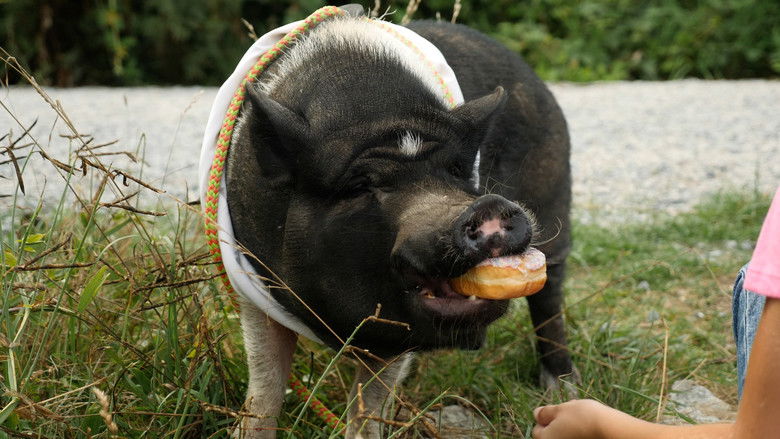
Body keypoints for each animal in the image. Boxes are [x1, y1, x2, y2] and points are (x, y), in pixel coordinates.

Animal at [221, 10, 573, 439]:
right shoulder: (255, 291)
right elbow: (265, 388)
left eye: (457, 171)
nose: (488, 203)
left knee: (549, 301)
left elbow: (368, 408)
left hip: (554, 207)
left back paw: (561, 388)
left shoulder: (396, 332)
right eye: (359, 185)